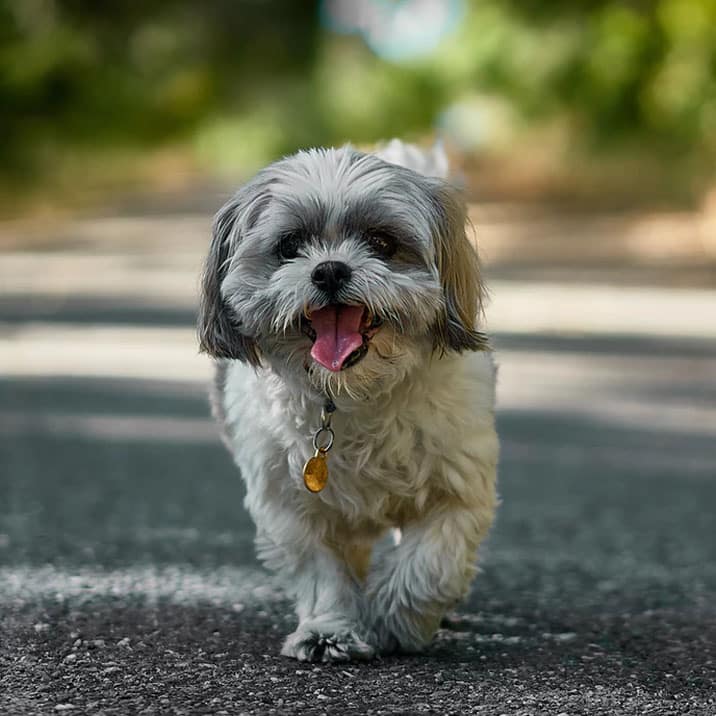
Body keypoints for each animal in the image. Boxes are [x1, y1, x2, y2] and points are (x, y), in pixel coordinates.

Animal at [196, 141, 498, 664]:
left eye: (382, 243)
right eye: (290, 246)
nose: (330, 268)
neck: (352, 396)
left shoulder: (457, 489)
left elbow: (430, 563)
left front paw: (396, 620)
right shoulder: (290, 505)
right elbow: (321, 572)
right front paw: (328, 630)